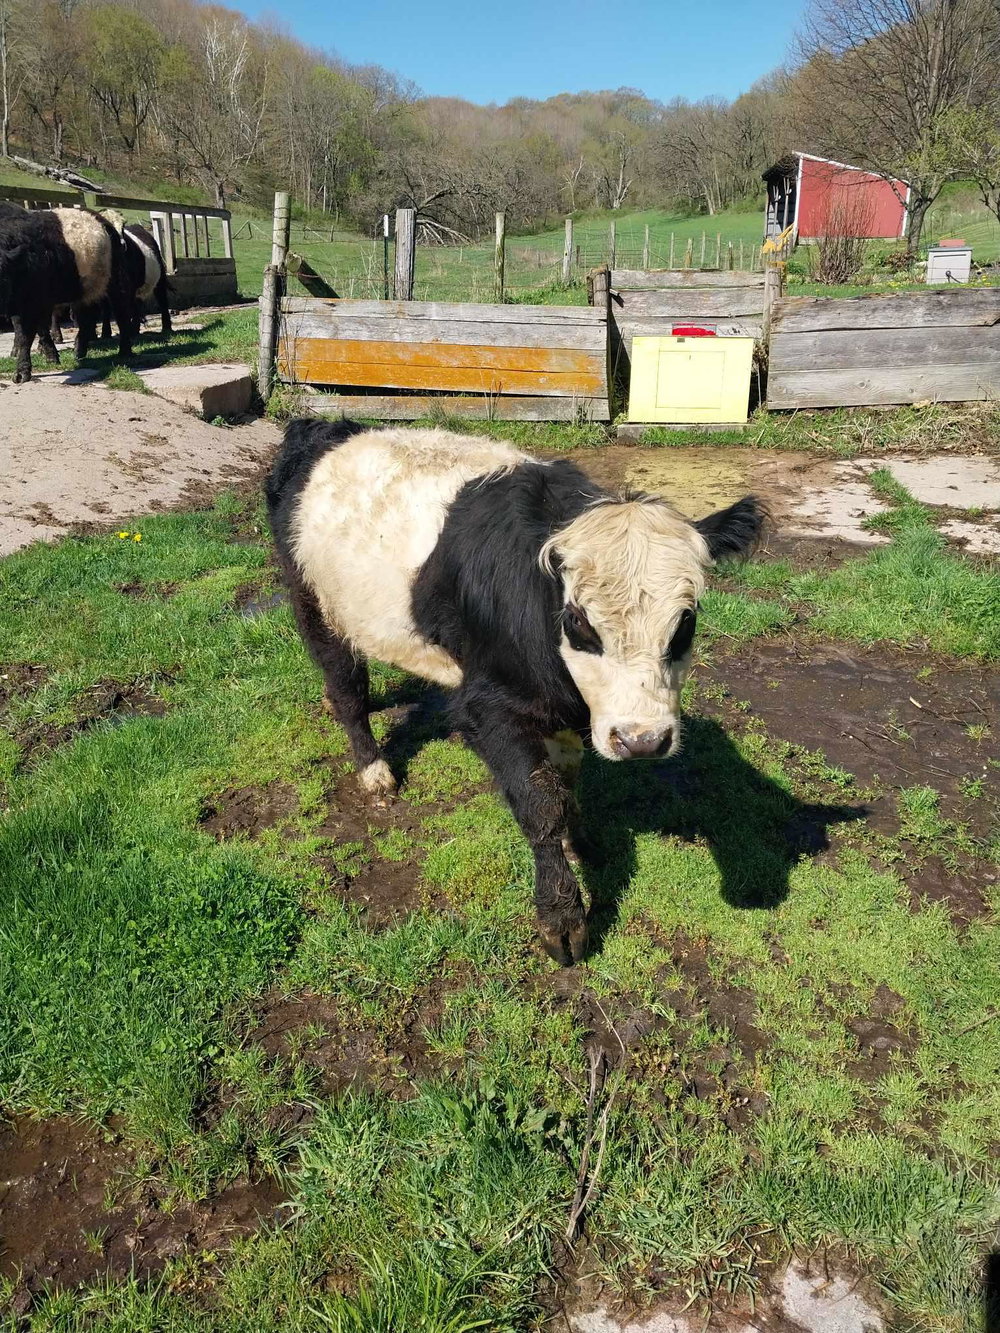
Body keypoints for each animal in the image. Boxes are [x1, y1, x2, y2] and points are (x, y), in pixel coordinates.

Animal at [0, 204, 136, 383]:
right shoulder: (22, 301)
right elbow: (31, 330)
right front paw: (50, 357)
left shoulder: (34, 299)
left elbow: (26, 334)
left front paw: (22, 372)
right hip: (84, 288)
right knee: (86, 317)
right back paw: (79, 351)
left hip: (116, 280)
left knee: (121, 313)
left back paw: (125, 352)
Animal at [266, 419, 765, 965]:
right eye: (578, 620)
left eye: (686, 621)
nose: (642, 741)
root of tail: (329, 428)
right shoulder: (490, 707)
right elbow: (539, 801)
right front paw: (562, 919)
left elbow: (565, 783)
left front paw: (579, 842)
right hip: (316, 605)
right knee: (347, 687)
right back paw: (374, 770)